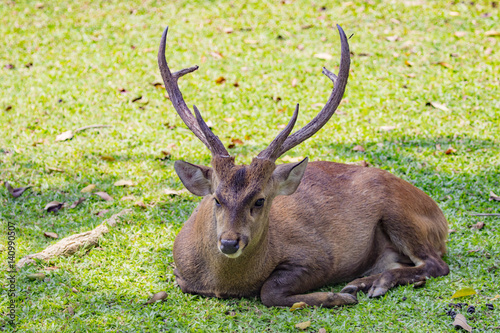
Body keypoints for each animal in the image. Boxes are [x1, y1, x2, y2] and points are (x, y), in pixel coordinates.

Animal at [158, 24, 452, 308]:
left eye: (260, 200)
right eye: (216, 199)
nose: (230, 242)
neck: (224, 284)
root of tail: (439, 215)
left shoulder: (318, 256)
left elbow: (269, 291)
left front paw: (337, 297)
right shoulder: (179, 273)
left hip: (402, 215)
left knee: (437, 264)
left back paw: (369, 284)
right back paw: (364, 282)